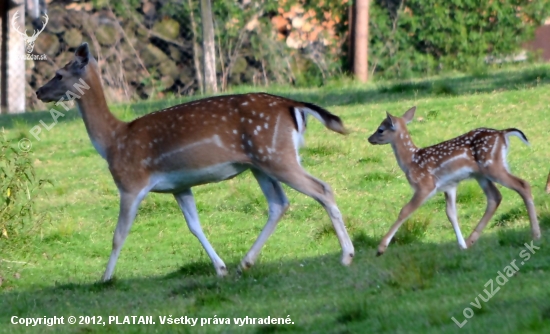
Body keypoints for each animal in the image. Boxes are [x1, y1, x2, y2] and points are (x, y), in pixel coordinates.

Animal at [34, 43, 356, 280]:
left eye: (59, 73)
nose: (38, 91)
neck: (113, 141)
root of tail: (293, 105)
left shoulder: (130, 182)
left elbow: (118, 234)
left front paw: (105, 278)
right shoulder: (179, 186)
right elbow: (194, 225)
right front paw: (220, 268)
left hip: (277, 156)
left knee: (322, 189)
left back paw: (347, 255)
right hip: (261, 163)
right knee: (279, 203)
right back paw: (245, 263)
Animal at [368, 107, 540, 256]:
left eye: (380, 129)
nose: (369, 138)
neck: (411, 161)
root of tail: (503, 133)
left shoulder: (425, 185)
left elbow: (405, 211)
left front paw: (381, 248)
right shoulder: (449, 186)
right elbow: (451, 213)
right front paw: (461, 245)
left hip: (492, 166)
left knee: (522, 185)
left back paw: (536, 235)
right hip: (481, 174)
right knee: (495, 197)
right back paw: (471, 241)